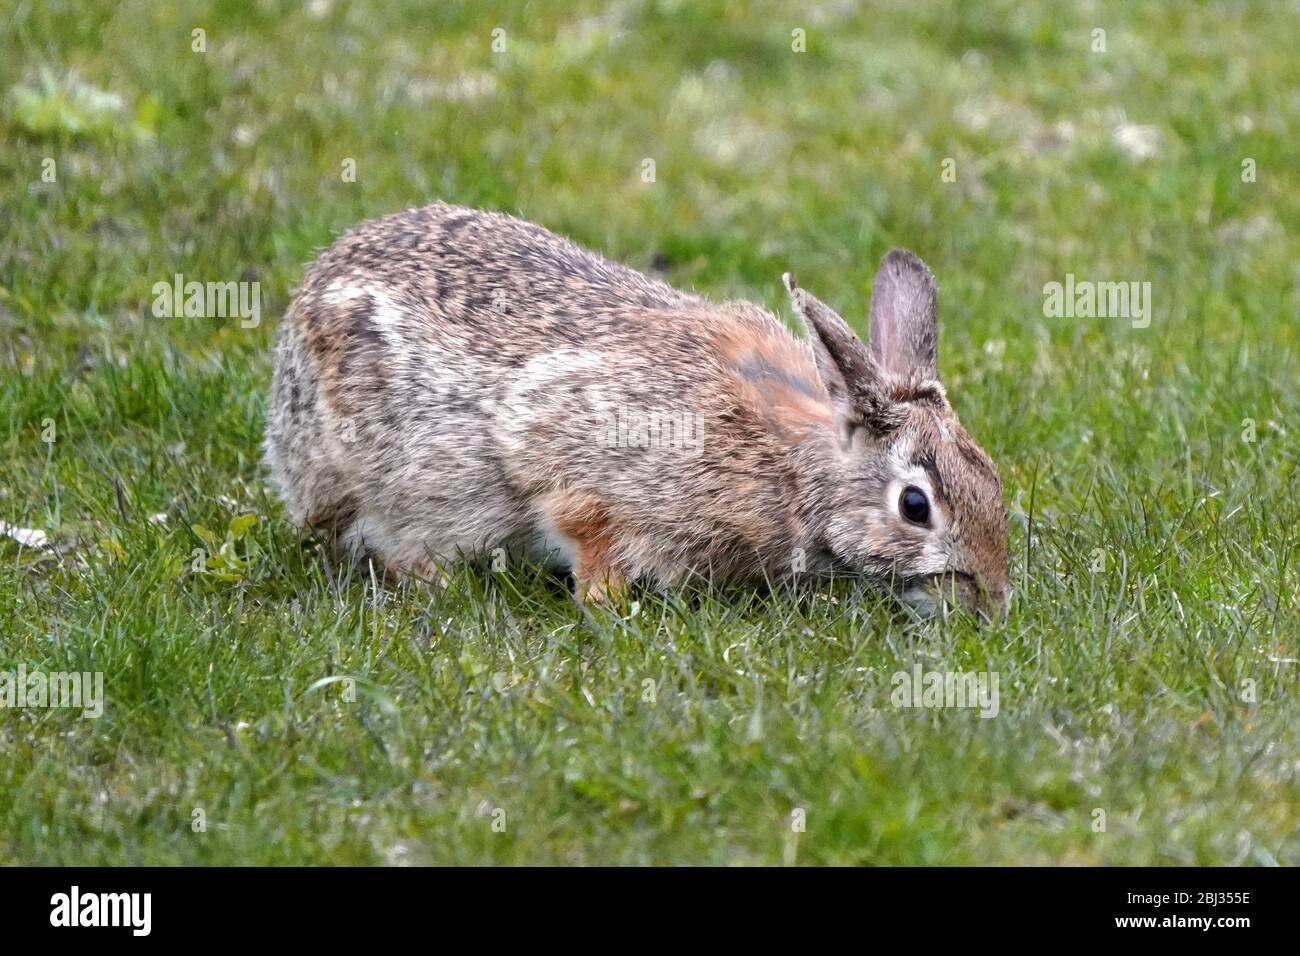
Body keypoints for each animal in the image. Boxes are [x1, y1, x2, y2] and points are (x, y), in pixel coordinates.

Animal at [263, 201, 1008, 621]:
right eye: (915, 506)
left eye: (992, 481)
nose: (991, 600)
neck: (792, 467)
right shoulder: (576, 459)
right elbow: (584, 526)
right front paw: (606, 606)